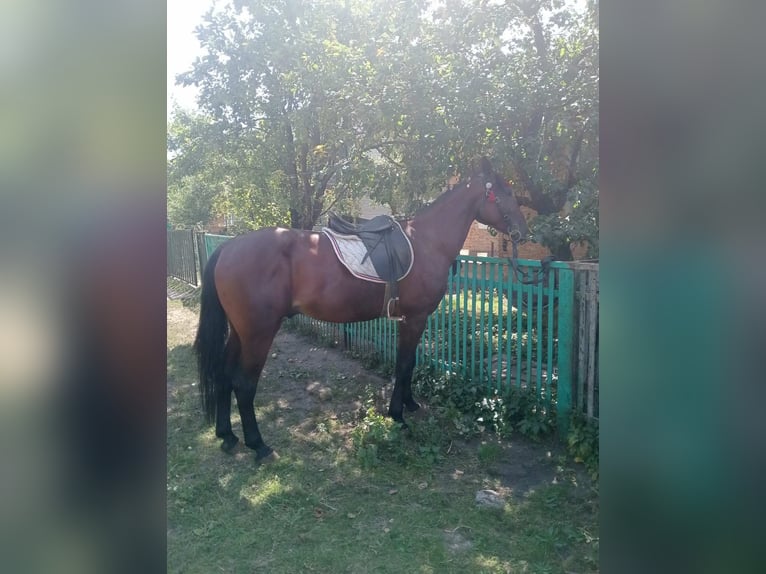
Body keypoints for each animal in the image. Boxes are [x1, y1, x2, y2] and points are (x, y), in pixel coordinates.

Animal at [193, 157, 529, 462]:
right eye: (507, 192)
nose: (524, 232)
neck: (428, 242)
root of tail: (228, 247)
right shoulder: (415, 318)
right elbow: (403, 365)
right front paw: (398, 415)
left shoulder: (410, 319)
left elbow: (409, 363)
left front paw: (410, 404)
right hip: (258, 334)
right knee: (244, 384)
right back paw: (257, 445)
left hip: (239, 332)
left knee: (223, 375)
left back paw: (227, 435)